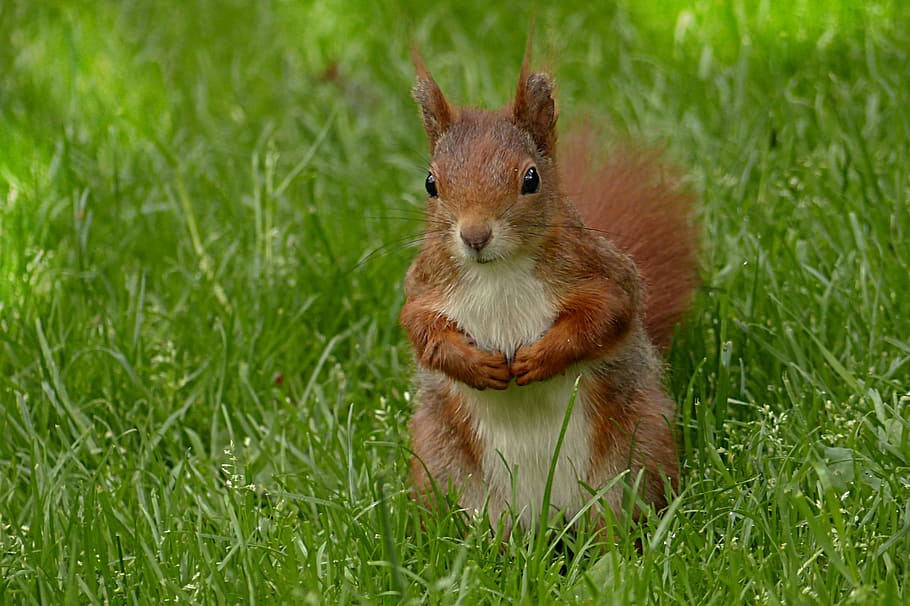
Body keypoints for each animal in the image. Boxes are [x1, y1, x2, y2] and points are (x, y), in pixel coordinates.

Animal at [400, 47, 699, 531]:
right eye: (430, 183)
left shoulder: (600, 271)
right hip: (442, 465)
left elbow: (606, 314)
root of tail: (546, 518)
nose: (475, 236)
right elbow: (421, 331)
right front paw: (476, 366)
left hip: (636, 453)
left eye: (531, 179)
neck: (497, 272)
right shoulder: (424, 287)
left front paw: (539, 359)